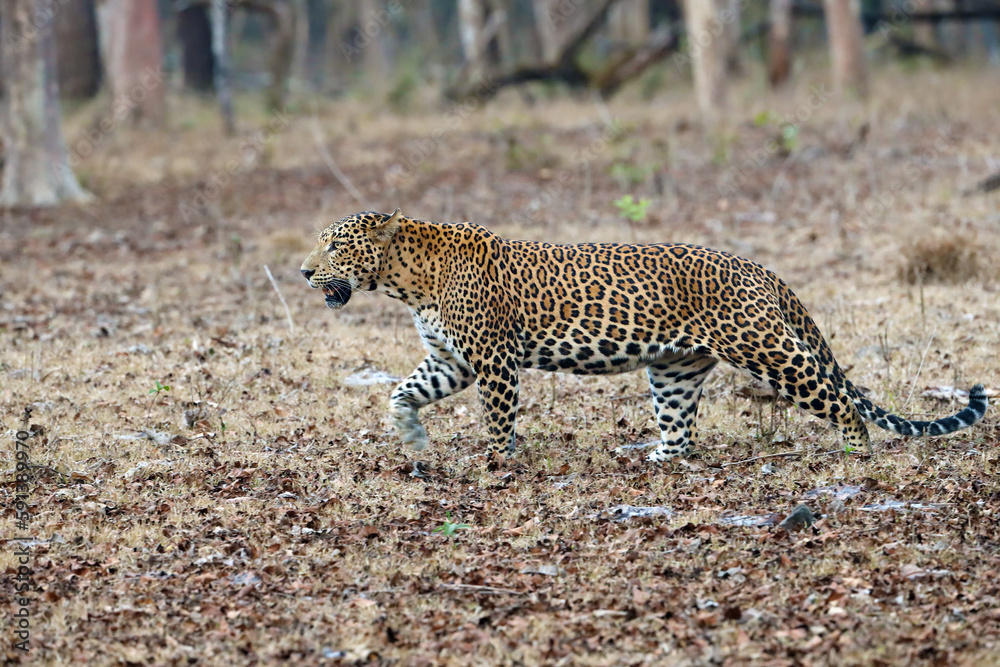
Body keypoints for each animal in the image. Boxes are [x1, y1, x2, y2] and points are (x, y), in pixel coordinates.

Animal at [296, 211, 984, 468]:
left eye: (331, 245)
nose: (303, 272)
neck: (404, 280)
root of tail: (757, 267)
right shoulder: (451, 360)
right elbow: (401, 393)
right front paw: (413, 438)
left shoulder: (491, 361)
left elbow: (497, 419)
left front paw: (495, 464)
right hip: (675, 368)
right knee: (681, 429)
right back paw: (655, 458)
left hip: (764, 346)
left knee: (839, 400)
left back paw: (853, 455)